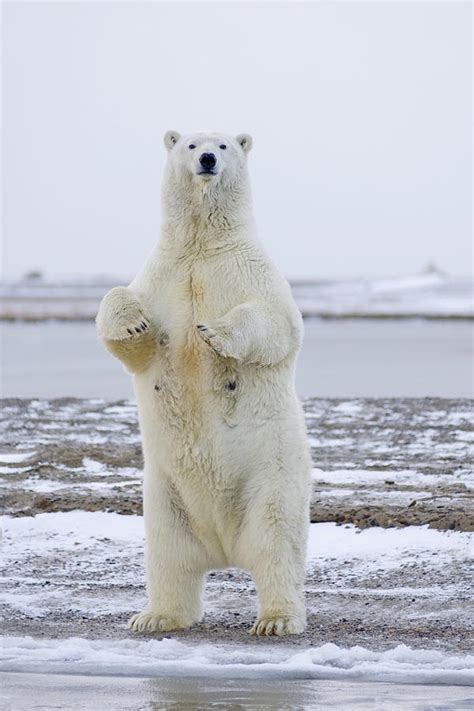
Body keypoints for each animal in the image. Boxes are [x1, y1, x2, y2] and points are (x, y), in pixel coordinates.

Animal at [96, 131, 312, 636]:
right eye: (191, 144)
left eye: (226, 145)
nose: (209, 159)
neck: (201, 245)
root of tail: (225, 547)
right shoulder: (162, 273)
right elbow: (128, 331)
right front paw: (133, 323)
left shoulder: (252, 271)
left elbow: (275, 322)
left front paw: (214, 334)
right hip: (165, 495)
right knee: (168, 555)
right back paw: (156, 616)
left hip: (272, 478)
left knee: (277, 545)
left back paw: (277, 619)